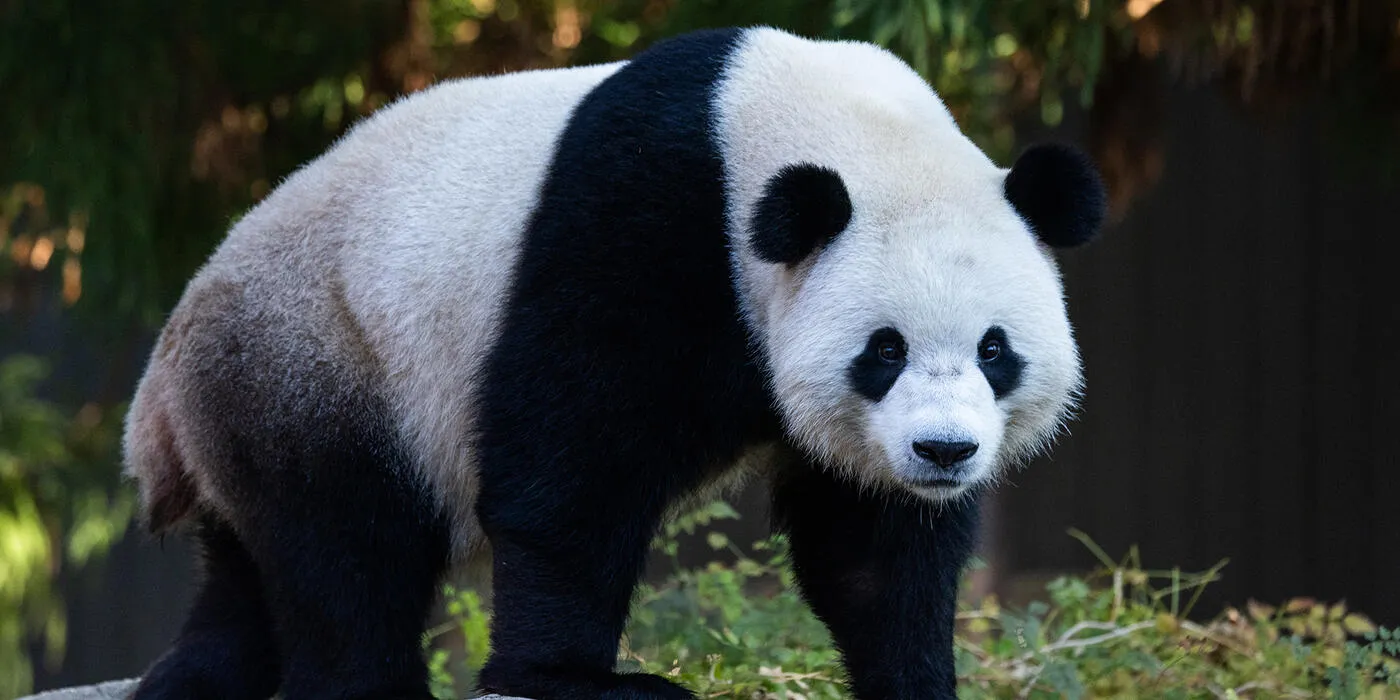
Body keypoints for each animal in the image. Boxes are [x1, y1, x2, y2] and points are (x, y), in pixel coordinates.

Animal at [122, 26, 1103, 700]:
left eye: (994, 350)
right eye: (885, 350)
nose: (944, 452)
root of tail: (162, 394)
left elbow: (870, 543)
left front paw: (914, 673)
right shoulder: (646, 216)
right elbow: (571, 464)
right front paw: (568, 679)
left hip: (255, 397)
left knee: (249, 584)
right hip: (322, 356)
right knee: (348, 552)